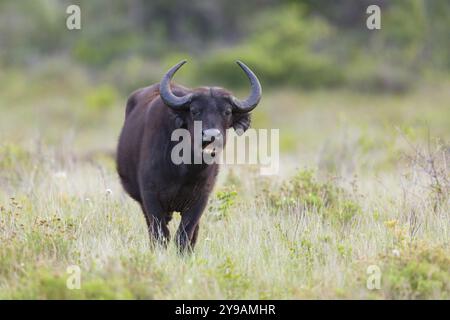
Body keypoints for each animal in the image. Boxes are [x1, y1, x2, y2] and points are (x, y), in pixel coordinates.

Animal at [116, 59, 262, 250]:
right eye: (194, 110)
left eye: (227, 111)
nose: (210, 136)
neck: (184, 170)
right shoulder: (150, 197)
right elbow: (160, 235)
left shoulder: (200, 201)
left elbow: (185, 235)